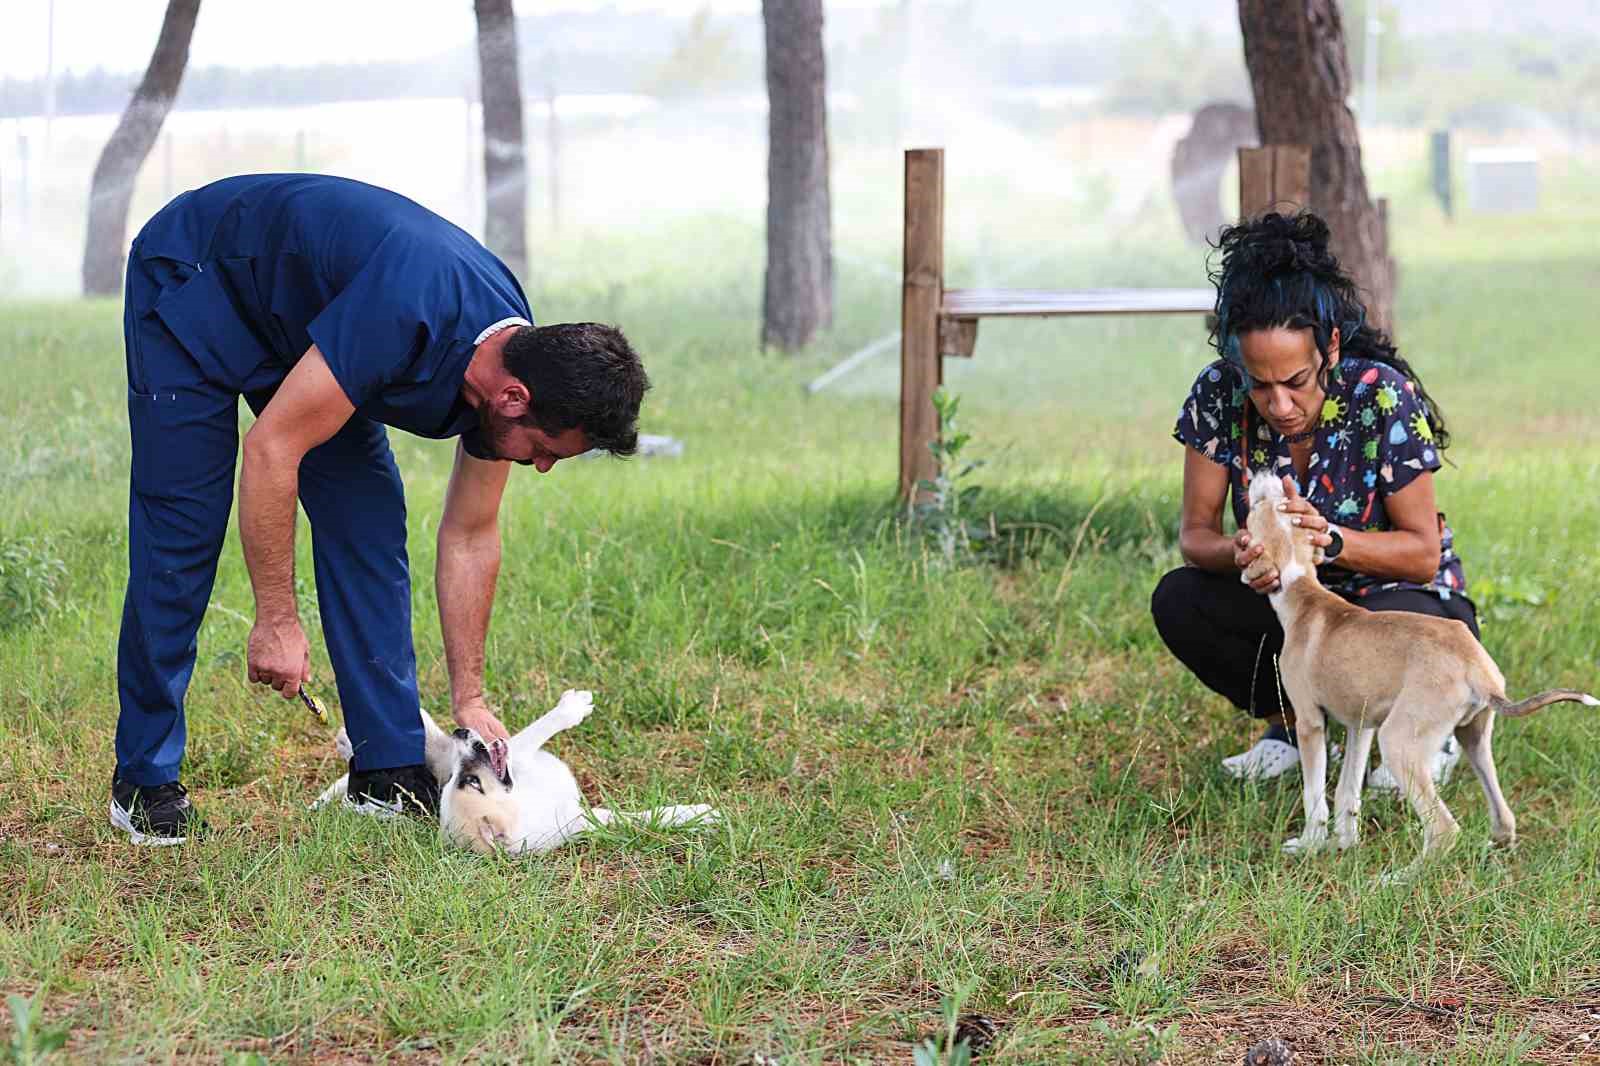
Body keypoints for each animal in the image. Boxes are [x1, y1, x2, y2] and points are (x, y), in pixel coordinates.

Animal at [312, 688, 713, 857]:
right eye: (469, 781)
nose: (464, 734)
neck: (526, 803)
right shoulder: (518, 756)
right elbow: (537, 729)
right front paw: (573, 707)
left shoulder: (577, 814)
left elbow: (644, 815)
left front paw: (692, 814)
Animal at [1241, 473, 1593, 870]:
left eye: (1262, 505)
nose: (1264, 474)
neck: (1302, 589)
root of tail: (1475, 667)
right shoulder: (1360, 725)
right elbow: (1348, 792)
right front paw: (1344, 844)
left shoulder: (1310, 722)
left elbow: (1314, 795)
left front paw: (1309, 845)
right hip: (1473, 737)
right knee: (1503, 816)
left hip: (1398, 741)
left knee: (1443, 829)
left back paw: (1399, 877)